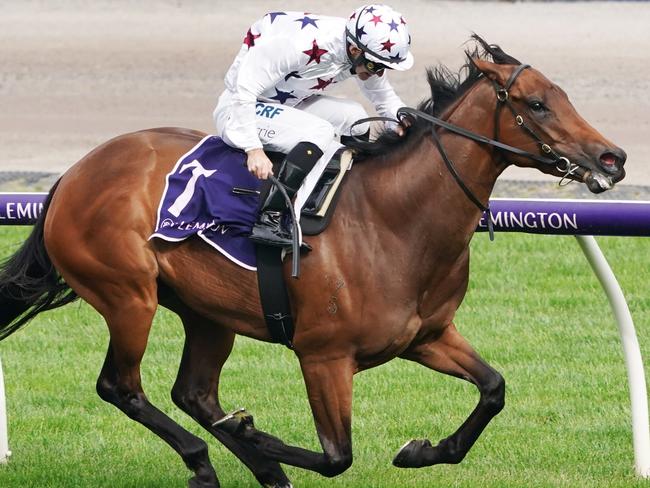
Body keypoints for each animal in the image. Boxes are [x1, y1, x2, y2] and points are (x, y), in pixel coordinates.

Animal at [0, 36, 624, 486]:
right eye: (537, 104)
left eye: (563, 95)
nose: (613, 158)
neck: (393, 220)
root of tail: (74, 173)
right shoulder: (323, 355)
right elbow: (336, 455)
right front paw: (255, 436)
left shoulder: (426, 336)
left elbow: (493, 388)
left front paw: (421, 450)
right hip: (129, 296)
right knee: (122, 387)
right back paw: (209, 461)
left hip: (206, 312)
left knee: (193, 393)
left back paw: (254, 466)